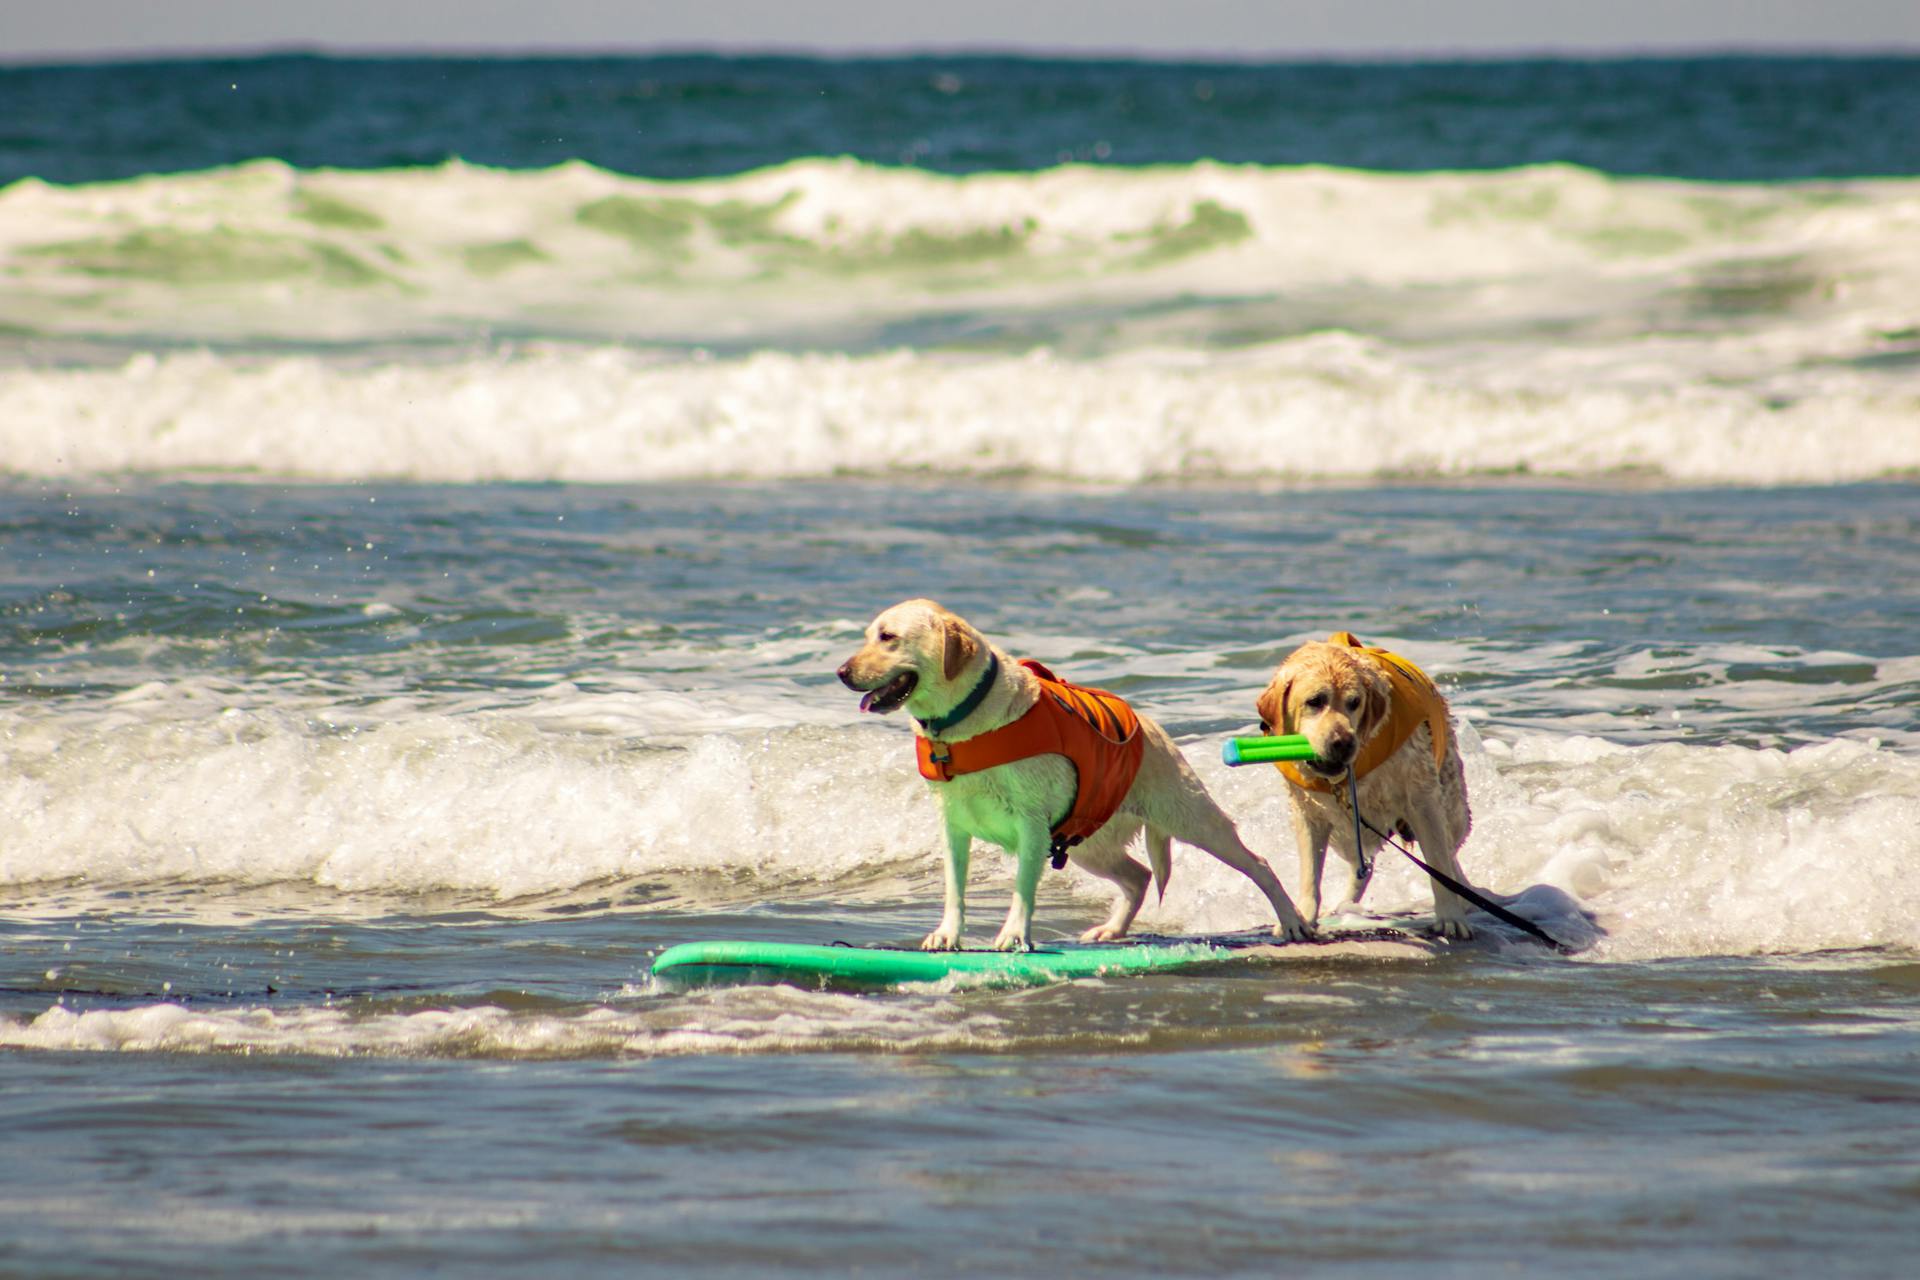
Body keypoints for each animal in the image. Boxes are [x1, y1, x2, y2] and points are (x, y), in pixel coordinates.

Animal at [833, 602, 1313, 951]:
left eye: (888, 637)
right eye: (868, 635)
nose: (840, 672)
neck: (965, 721)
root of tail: (1151, 726)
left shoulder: (1031, 825)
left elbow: (1022, 889)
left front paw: (1014, 935)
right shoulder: (953, 826)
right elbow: (954, 888)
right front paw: (947, 934)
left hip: (1191, 817)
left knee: (1257, 863)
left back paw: (1293, 922)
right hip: (1086, 844)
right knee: (1139, 876)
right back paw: (1112, 930)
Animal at [1259, 633, 1466, 940]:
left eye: (1354, 702)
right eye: (1315, 701)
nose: (1343, 742)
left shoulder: (1422, 799)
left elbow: (1438, 863)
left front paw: (1450, 917)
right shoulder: (1308, 812)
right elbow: (1310, 873)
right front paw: (1302, 917)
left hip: (1451, 805)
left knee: (1451, 855)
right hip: (1346, 835)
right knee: (1361, 867)